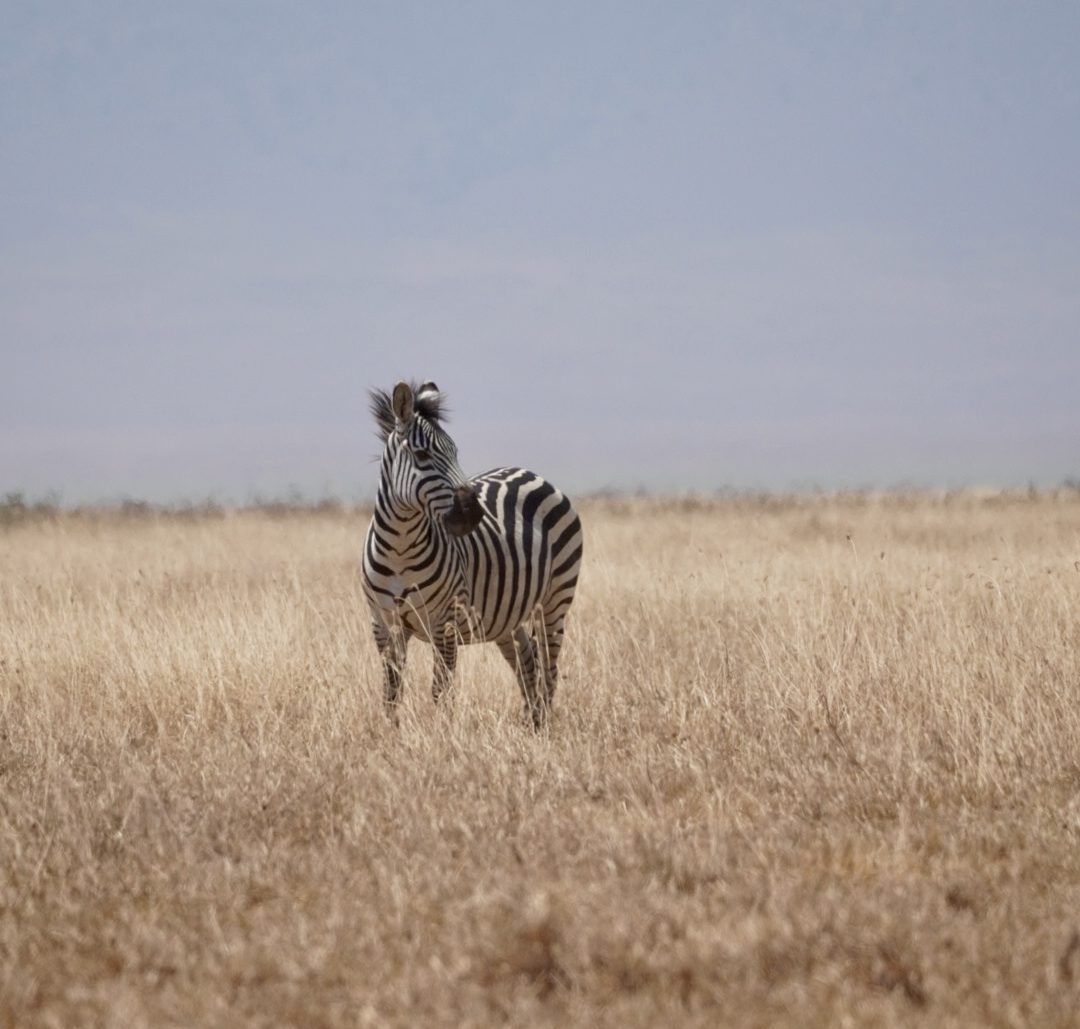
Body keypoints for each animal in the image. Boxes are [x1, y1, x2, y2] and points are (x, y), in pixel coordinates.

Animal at [361, 380, 583, 728]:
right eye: (422, 455)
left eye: (455, 452)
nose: (474, 514)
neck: (399, 547)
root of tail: (530, 472)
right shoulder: (383, 623)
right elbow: (391, 688)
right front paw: (390, 730)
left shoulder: (445, 621)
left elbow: (440, 689)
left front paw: (442, 733)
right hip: (508, 616)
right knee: (528, 662)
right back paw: (530, 722)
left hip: (555, 600)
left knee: (549, 666)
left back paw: (543, 724)